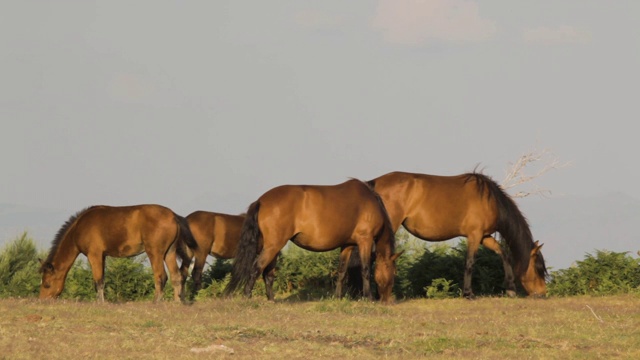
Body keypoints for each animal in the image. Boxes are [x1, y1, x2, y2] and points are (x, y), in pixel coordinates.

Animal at [38, 204, 198, 302]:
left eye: (46, 284)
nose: (43, 300)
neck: (80, 227)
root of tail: (173, 216)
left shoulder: (94, 255)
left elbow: (98, 280)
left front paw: (100, 303)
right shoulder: (102, 256)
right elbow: (101, 279)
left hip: (155, 253)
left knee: (161, 276)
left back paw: (156, 302)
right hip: (169, 253)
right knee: (176, 276)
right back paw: (176, 302)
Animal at [222, 179, 398, 302]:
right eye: (392, 273)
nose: (386, 300)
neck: (370, 201)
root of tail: (261, 200)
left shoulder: (347, 245)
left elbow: (341, 272)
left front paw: (337, 297)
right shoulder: (365, 241)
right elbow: (366, 270)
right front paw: (368, 298)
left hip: (273, 247)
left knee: (268, 273)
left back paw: (271, 300)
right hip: (273, 246)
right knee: (257, 268)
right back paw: (247, 297)